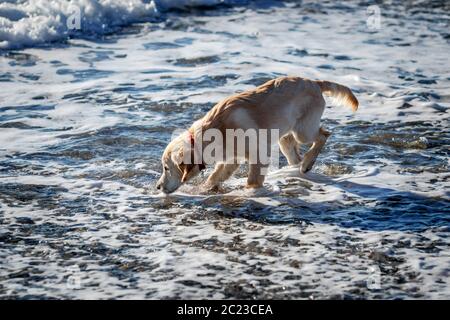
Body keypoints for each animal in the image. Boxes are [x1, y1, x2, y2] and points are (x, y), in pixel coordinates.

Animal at [156, 76, 356, 194]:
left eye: (166, 168)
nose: (157, 187)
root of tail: (314, 82)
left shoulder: (258, 153)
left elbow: (252, 178)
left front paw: (250, 191)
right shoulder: (231, 158)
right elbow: (215, 176)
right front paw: (204, 189)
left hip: (303, 131)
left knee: (323, 134)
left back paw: (307, 163)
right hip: (285, 138)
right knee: (296, 155)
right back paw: (300, 168)